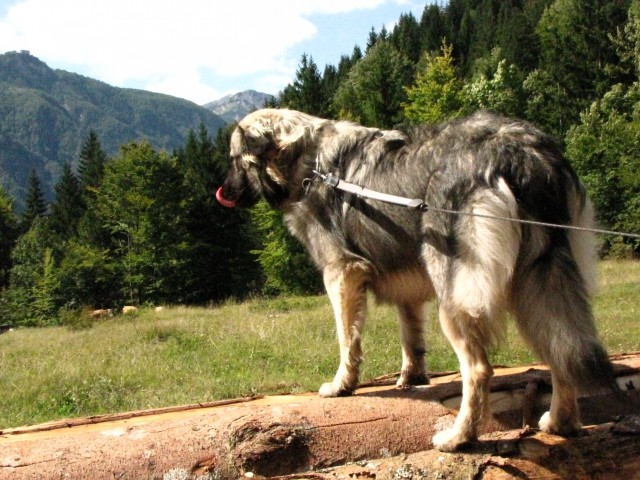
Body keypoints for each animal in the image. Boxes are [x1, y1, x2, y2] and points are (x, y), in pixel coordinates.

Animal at [218, 108, 616, 450]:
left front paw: (342, 384)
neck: (309, 163)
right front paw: (412, 378)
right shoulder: (405, 284)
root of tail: (523, 154)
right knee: (561, 347)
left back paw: (460, 437)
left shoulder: (342, 273)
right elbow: (410, 337)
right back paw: (560, 423)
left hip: (456, 294)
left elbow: (347, 339)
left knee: (479, 368)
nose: (224, 191)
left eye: (234, 159)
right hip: (537, 280)